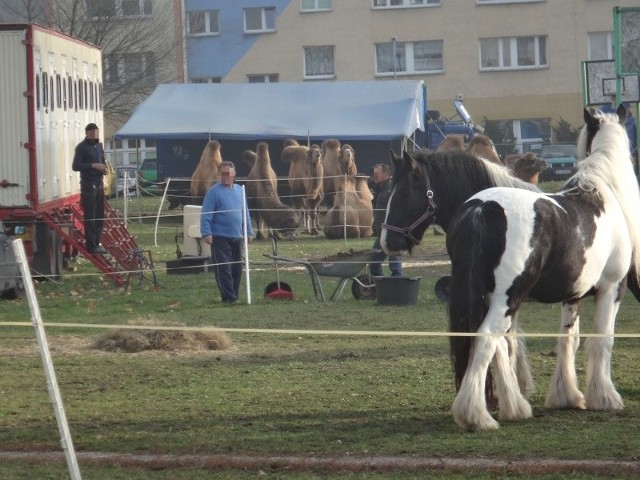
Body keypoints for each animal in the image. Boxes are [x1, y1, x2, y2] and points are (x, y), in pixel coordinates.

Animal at [442, 106, 636, 432]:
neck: (601, 192)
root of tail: (481, 208)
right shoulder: (611, 289)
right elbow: (602, 339)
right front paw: (604, 397)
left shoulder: (572, 297)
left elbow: (569, 339)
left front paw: (568, 396)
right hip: (507, 299)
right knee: (487, 339)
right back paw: (476, 415)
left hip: (496, 300)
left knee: (498, 344)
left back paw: (514, 407)